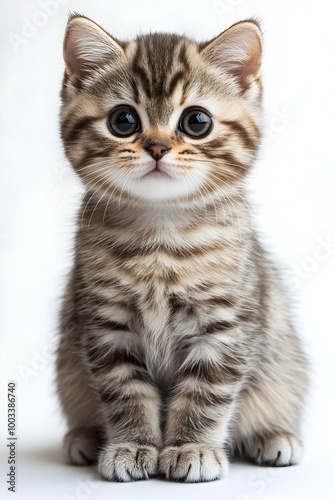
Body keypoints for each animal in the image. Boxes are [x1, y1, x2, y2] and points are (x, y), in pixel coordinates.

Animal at [56, 15, 310, 482]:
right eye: (123, 120)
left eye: (196, 122)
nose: (157, 147)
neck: (161, 234)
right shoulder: (105, 321)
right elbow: (125, 389)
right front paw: (132, 445)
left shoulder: (224, 323)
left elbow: (205, 391)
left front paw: (191, 447)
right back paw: (83, 438)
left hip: (283, 367)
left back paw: (275, 437)